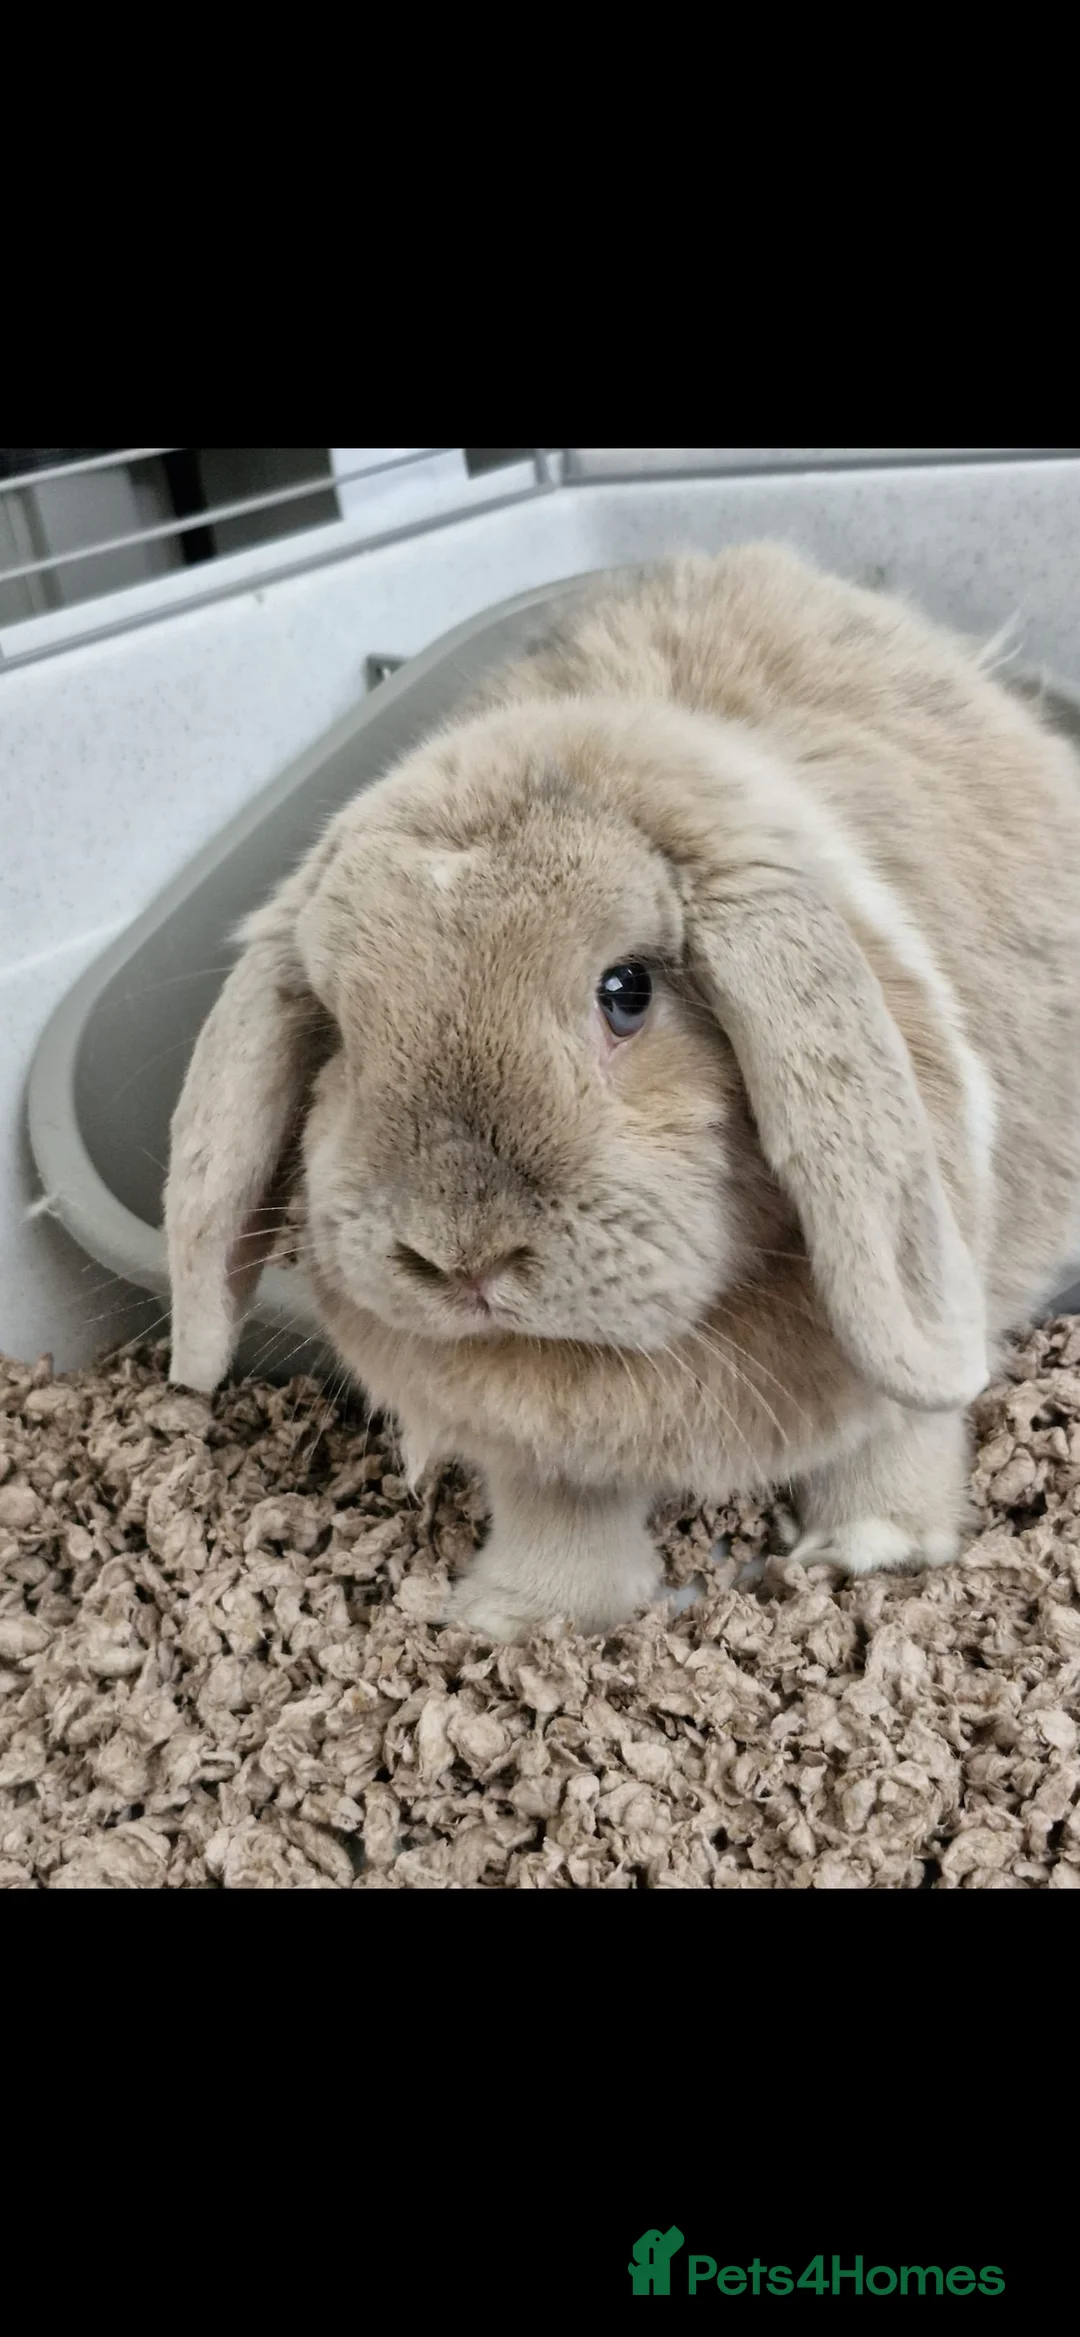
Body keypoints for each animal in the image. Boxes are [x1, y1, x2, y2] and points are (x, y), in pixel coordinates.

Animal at [163, 543, 1080, 1642]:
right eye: (339, 1031)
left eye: (628, 990)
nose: (461, 1257)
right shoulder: (540, 1458)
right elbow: (560, 1517)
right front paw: (515, 1617)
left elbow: (898, 1433)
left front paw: (870, 1551)